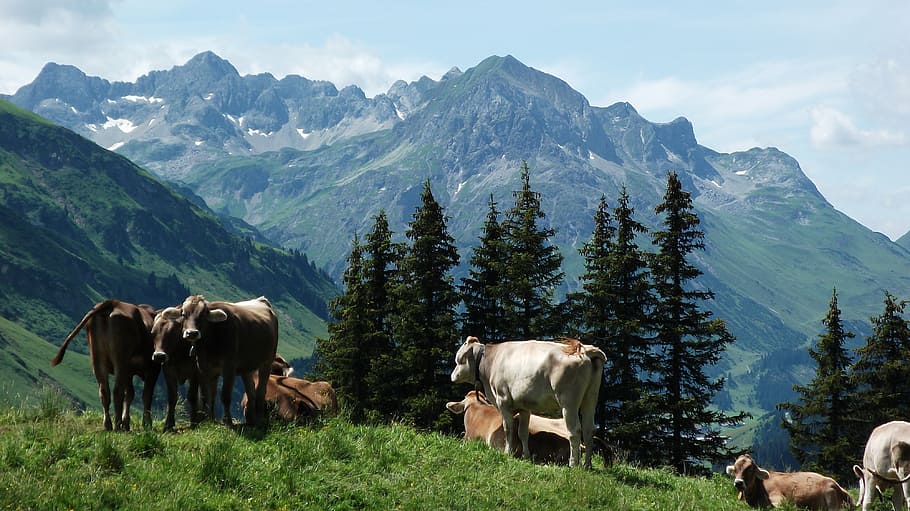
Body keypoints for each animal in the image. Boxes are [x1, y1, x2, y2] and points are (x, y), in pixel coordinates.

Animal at [50, 300, 159, 431]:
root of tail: (112, 303)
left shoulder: (129, 372)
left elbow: (130, 394)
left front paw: (127, 423)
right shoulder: (152, 369)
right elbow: (146, 395)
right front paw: (147, 423)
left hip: (97, 360)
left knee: (104, 391)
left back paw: (108, 424)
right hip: (120, 361)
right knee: (117, 392)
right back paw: (117, 425)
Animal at [158, 295, 278, 427]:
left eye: (203, 315)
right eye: (183, 314)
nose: (192, 333)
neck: (211, 341)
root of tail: (261, 300)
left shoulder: (229, 366)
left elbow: (225, 395)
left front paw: (227, 421)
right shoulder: (203, 367)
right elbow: (207, 396)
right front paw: (209, 420)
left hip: (267, 361)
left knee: (261, 390)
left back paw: (260, 419)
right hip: (246, 367)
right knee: (251, 391)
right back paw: (251, 421)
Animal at [450, 336, 606, 468]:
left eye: (458, 360)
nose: (452, 376)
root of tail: (585, 350)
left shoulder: (503, 401)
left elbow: (508, 428)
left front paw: (508, 452)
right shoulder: (524, 407)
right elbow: (523, 432)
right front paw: (526, 456)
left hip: (568, 402)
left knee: (575, 430)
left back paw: (573, 464)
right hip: (590, 399)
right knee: (589, 430)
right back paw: (587, 465)